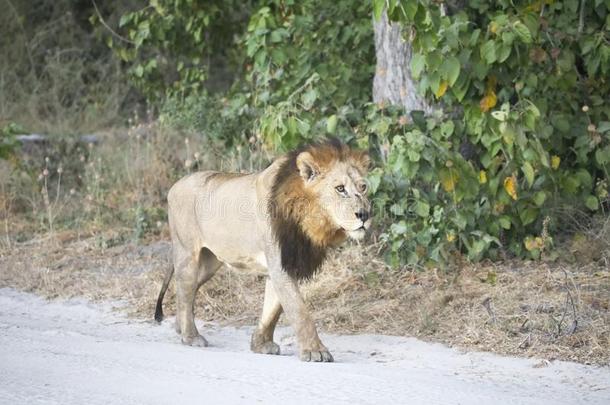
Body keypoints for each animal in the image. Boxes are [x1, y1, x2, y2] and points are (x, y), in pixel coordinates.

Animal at [152, 137, 370, 362]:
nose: (364, 214)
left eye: (363, 188)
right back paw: (190, 336)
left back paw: (179, 328)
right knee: (185, 290)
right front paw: (315, 351)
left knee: (186, 289)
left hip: (209, 262)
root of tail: (174, 186)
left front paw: (260, 344)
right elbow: (299, 311)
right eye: (340, 188)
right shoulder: (279, 264)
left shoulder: (285, 264)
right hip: (188, 253)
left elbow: (272, 311)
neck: (306, 219)